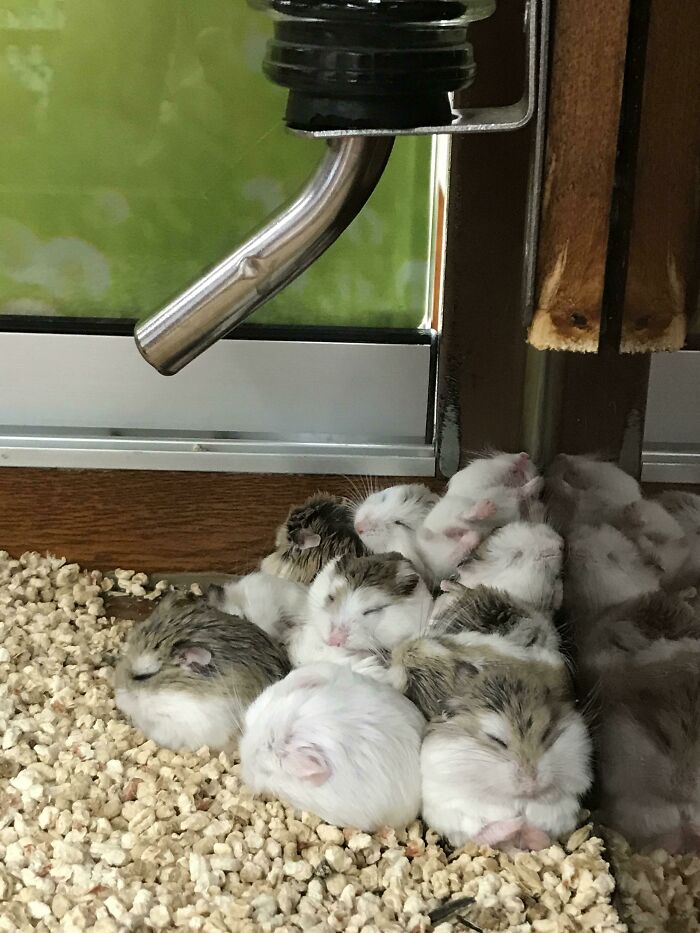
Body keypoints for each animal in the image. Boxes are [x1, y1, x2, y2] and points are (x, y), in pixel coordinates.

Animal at [421, 660, 592, 849]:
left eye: (546, 733)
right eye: (496, 739)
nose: (530, 785)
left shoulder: (578, 762)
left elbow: (561, 788)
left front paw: (536, 798)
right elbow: (484, 793)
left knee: (543, 838)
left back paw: (526, 826)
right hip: (453, 818)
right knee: (480, 836)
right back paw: (516, 824)